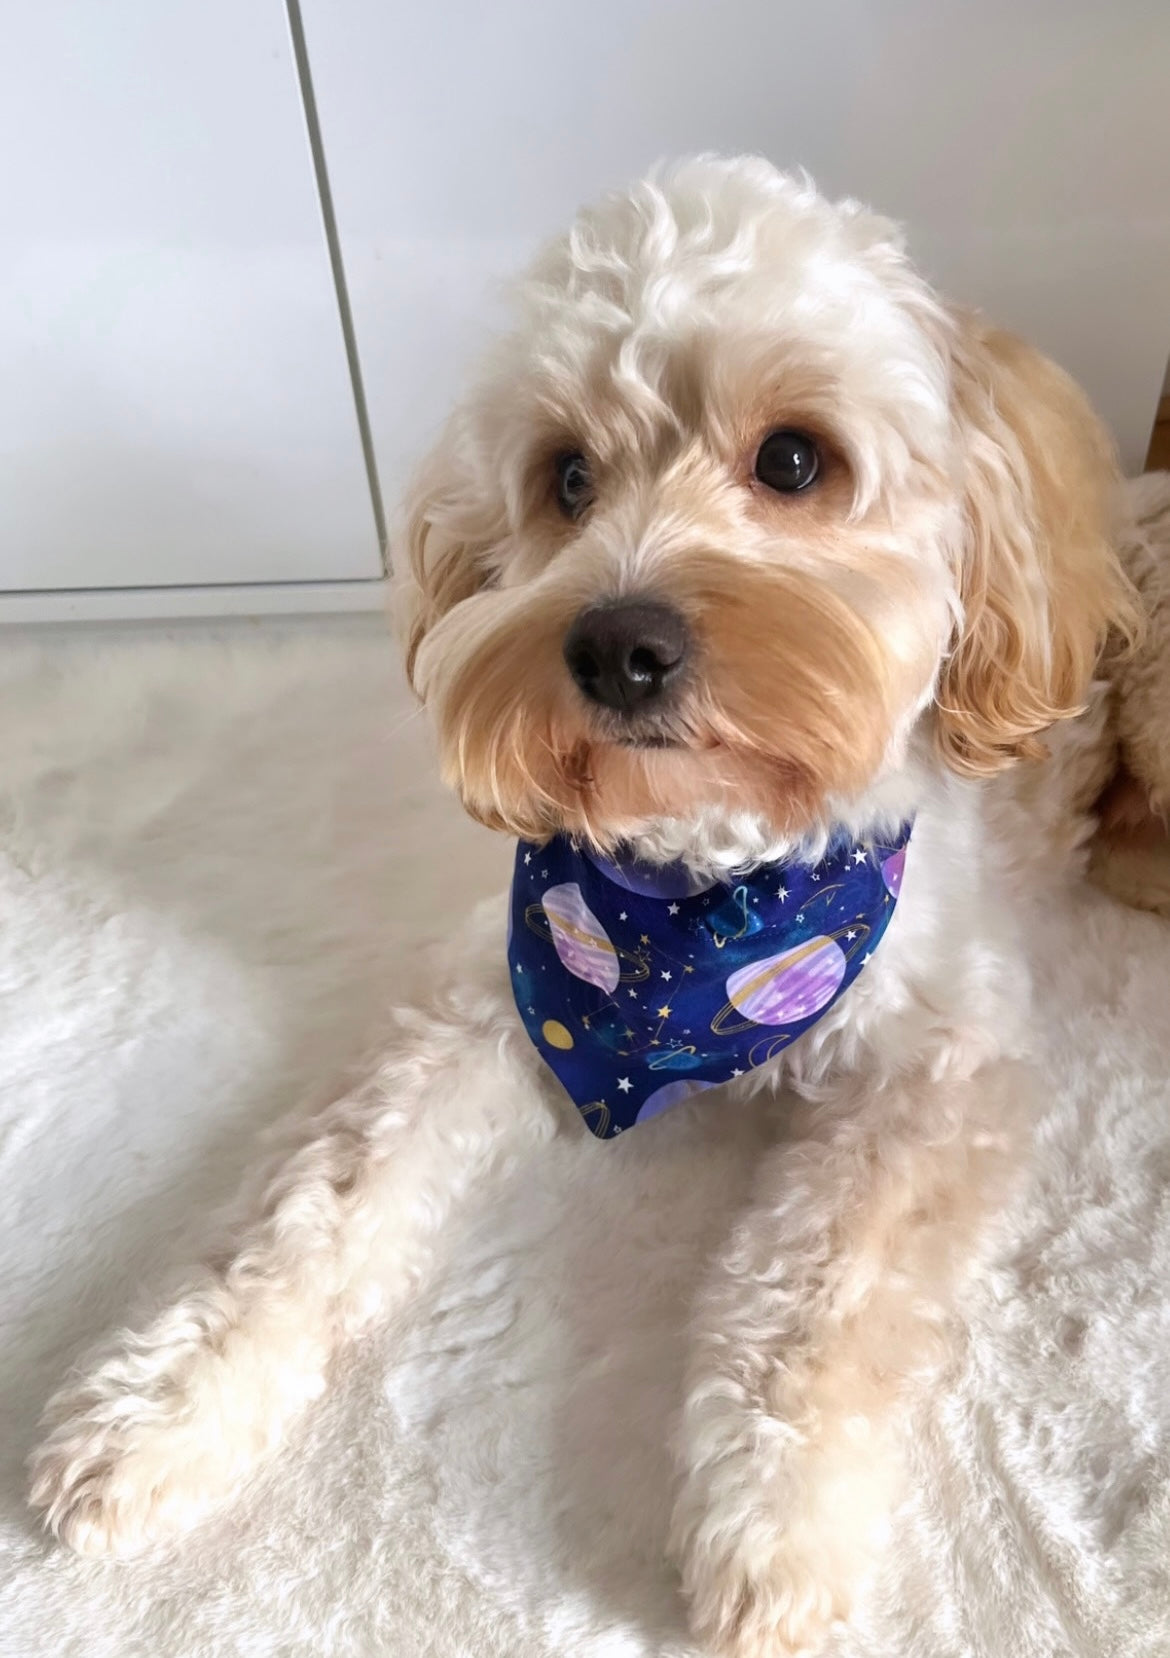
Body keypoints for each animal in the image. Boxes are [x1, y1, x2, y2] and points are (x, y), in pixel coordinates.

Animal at [29, 158, 1166, 1658]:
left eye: (793, 460)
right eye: (565, 477)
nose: (617, 645)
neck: (697, 909)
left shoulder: (941, 1070)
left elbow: (819, 1298)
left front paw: (772, 1527)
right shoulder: (488, 1009)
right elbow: (308, 1216)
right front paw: (157, 1405)